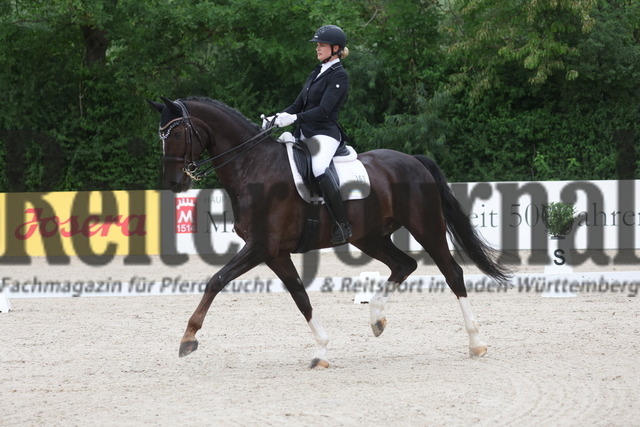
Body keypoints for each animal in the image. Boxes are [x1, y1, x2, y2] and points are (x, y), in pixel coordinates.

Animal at [149, 96, 510, 368]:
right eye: (161, 136)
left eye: (176, 134)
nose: (173, 183)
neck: (253, 167)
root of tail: (414, 160)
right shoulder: (276, 252)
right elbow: (300, 296)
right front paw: (321, 349)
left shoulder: (261, 246)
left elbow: (217, 280)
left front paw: (188, 338)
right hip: (370, 236)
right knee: (404, 265)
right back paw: (376, 319)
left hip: (426, 226)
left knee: (452, 273)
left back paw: (476, 342)